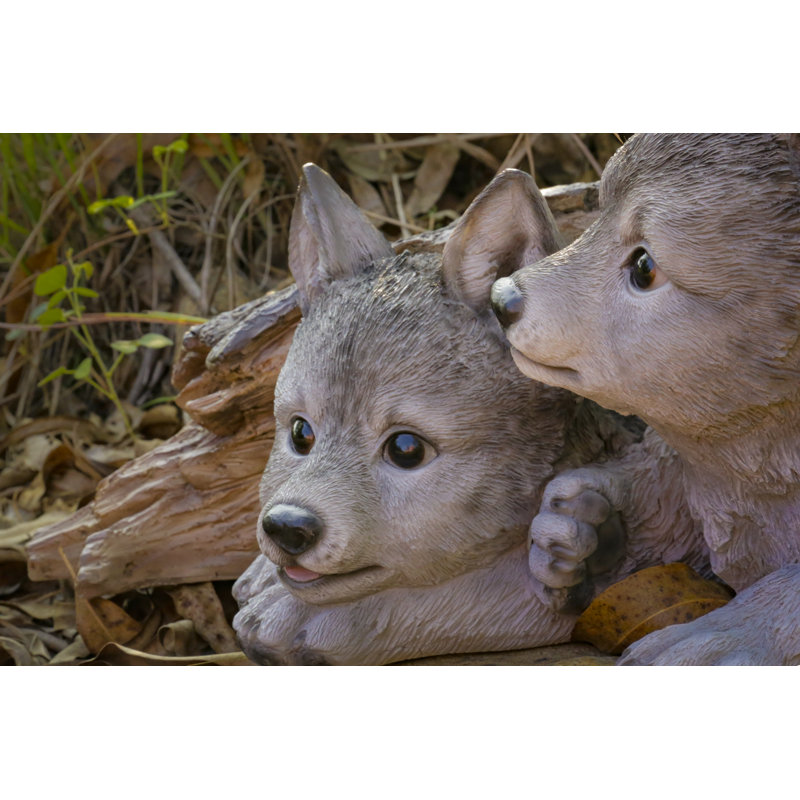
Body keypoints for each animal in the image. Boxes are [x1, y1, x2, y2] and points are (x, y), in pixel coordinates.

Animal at [231, 162, 707, 665]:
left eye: (406, 449)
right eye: (300, 434)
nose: (287, 527)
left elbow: (453, 599)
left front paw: (298, 618)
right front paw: (263, 577)